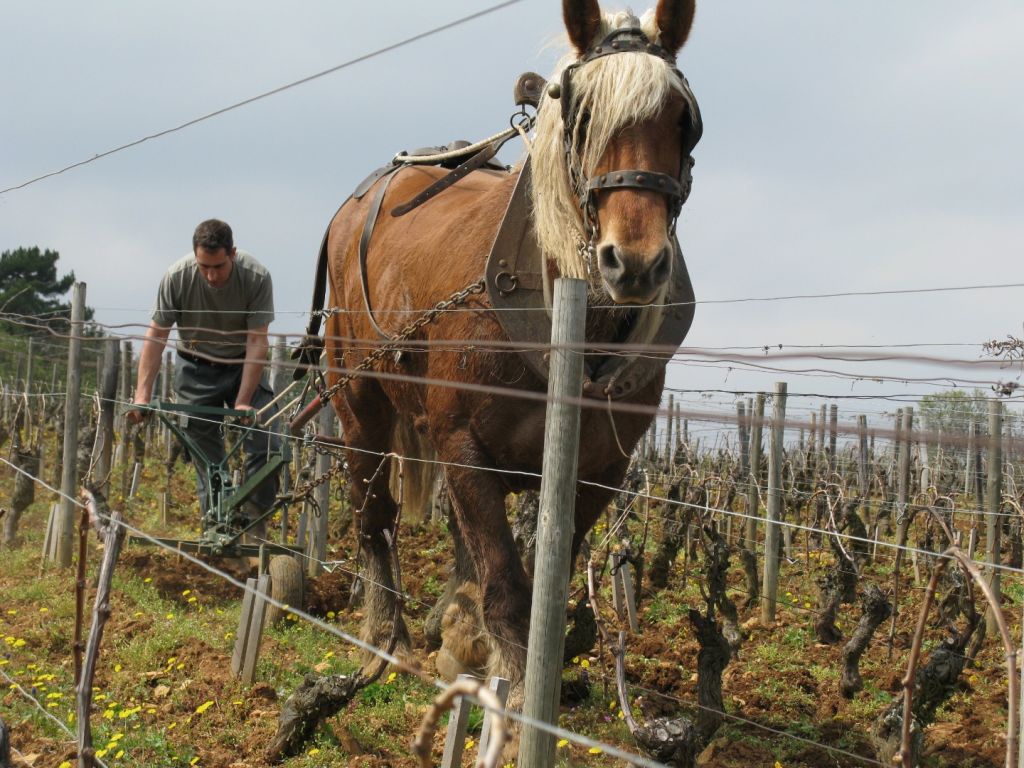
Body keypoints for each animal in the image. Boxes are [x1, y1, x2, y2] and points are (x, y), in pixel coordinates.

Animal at [315, 1, 700, 708]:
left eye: (683, 120)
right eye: (579, 117)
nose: (634, 263)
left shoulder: (600, 466)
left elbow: (543, 575)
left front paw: (494, 660)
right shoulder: (461, 438)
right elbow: (506, 581)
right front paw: (519, 703)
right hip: (358, 398)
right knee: (373, 513)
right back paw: (385, 642)